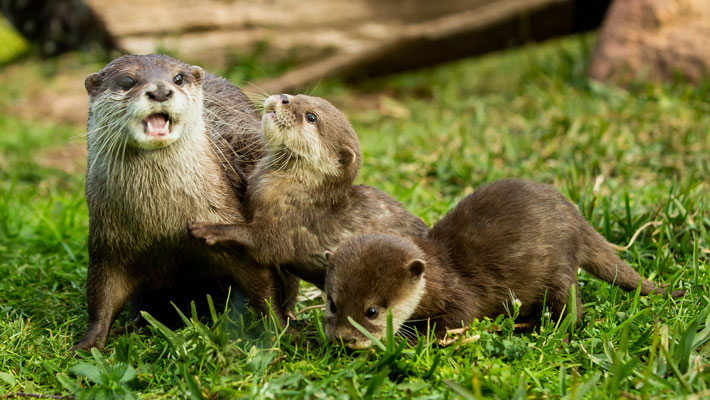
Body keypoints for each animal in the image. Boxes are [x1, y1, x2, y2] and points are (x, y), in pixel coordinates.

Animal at [76, 54, 298, 352]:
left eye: (178, 78)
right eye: (127, 81)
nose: (160, 91)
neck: (163, 224)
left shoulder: (232, 230)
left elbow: (263, 286)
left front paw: (281, 330)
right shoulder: (108, 244)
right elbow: (101, 297)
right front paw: (88, 345)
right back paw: (134, 324)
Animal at [189, 94, 432, 288]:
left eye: (311, 117)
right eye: (298, 95)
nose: (284, 97)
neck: (294, 193)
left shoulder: (288, 224)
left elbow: (265, 245)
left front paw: (210, 229)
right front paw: (237, 164)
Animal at [326, 180, 688, 348]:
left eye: (373, 311)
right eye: (332, 304)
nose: (344, 339)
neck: (438, 277)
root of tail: (576, 216)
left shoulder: (460, 297)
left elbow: (458, 320)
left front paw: (413, 339)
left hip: (559, 268)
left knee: (572, 305)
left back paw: (552, 334)